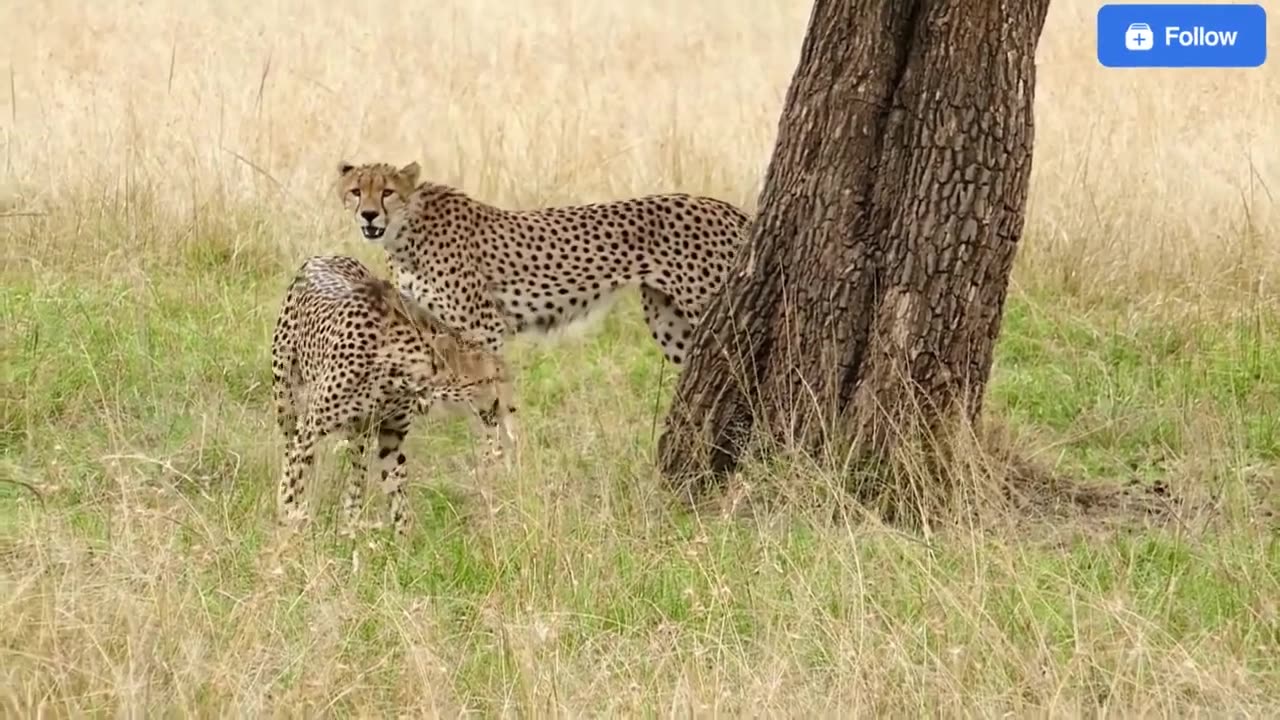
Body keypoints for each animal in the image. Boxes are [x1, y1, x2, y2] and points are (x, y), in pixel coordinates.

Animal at [270, 254, 514, 535]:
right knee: (290, 446)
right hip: (285, 400)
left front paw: (403, 540)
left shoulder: (391, 437)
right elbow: (294, 478)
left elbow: (398, 495)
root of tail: (324, 256)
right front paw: (288, 521)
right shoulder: (310, 429)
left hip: (359, 432)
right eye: (489, 379)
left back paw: (351, 520)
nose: (508, 407)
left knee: (357, 473)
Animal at [335, 162, 747, 363]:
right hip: (669, 320)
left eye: (387, 192)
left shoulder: (485, 328)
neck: (404, 235)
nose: (368, 215)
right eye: (355, 192)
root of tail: (727, 207)